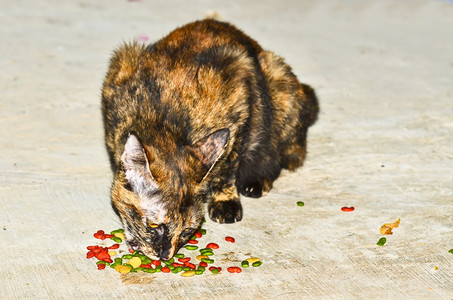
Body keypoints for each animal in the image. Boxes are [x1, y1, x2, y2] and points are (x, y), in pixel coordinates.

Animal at [100, 18, 318, 260]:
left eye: (186, 231)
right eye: (154, 225)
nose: (166, 255)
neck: (161, 122)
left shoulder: (240, 93)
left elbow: (228, 165)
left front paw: (225, 200)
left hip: (279, 85)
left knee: (281, 154)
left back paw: (256, 180)